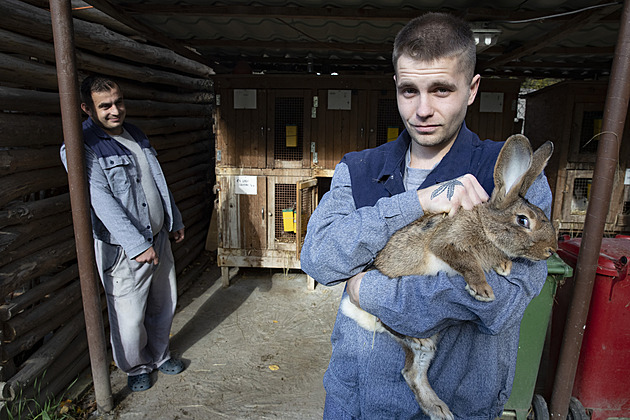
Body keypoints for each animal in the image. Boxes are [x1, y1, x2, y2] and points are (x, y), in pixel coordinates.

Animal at [344, 134, 556, 420]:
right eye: (523, 221)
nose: (551, 250)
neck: (485, 226)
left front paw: (504, 266)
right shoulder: (446, 242)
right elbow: (467, 262)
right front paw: (483, 290)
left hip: (430, 349)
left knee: (411, 373)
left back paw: (439, 409)